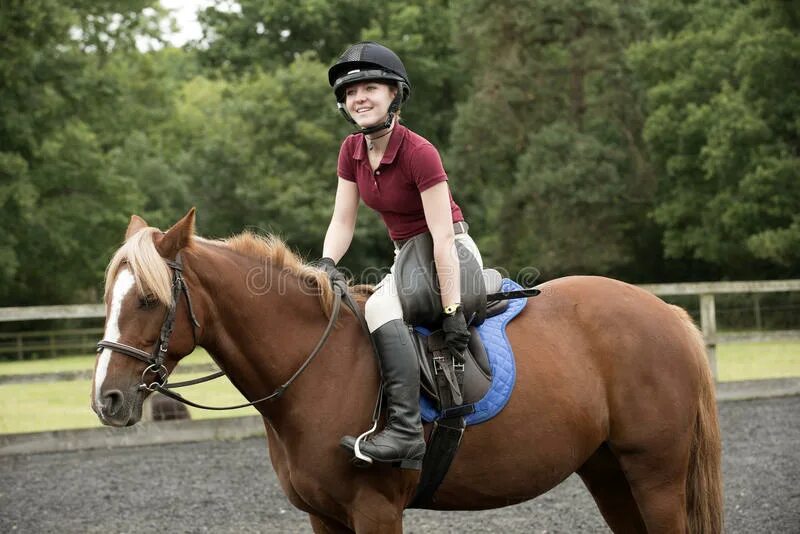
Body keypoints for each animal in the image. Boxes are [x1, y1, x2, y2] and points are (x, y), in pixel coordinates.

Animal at [90, 211, 720, 532]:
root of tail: (666, 312)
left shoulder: (374, 510)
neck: (315, 369)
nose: (107, 400)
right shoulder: (324, 518)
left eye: (147, 299)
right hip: (610, 472)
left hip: (655, 475)